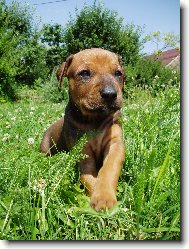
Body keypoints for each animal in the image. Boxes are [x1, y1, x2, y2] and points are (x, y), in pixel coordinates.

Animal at [39, 47, 125, 211]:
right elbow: (87, 176)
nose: (110, 94)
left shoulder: (115, 143)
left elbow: (109, 168)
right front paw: (98, 198)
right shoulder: (82, 151)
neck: (95, 120)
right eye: (84, 73)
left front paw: (104, 196)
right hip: (45, 149)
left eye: (118, 73)